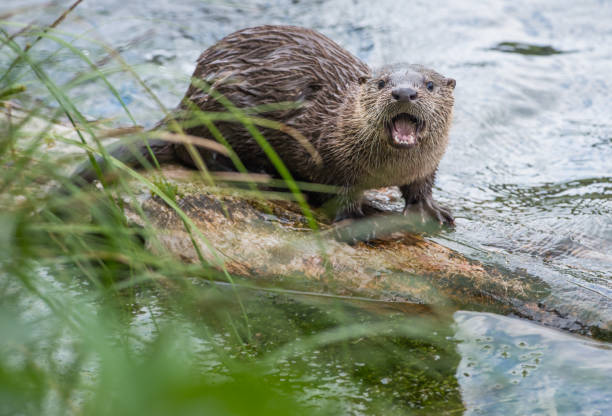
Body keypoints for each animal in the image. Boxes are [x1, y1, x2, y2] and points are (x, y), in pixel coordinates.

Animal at [73, 24, 454, 226]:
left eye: (428, 85)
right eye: (382, 83)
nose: (404, 92)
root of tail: (187, 100)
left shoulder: (426, 165)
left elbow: (421, 186)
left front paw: (430, 209)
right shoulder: (323, 154)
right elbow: (336, 192)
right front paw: (358, 217)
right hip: (220, 111)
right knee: (196, 153)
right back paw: (257, 174)